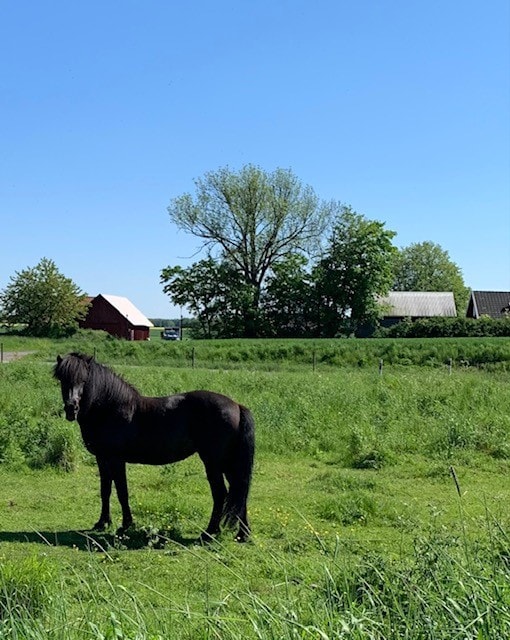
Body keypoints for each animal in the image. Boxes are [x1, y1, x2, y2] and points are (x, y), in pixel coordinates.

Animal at [52, 352, 254, 544]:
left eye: (84, 380)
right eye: (62, 379)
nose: (71, 408)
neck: (111, 408)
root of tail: (237, 405)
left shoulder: (116, 459)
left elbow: (122, 491)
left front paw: (126, 525)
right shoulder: (102, 458)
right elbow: (105, 490)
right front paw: (103, 522)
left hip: (213, 462)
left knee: (221, 494)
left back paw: (209, 533)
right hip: (228, 463)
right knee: (239, 492)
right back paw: (242, 535)